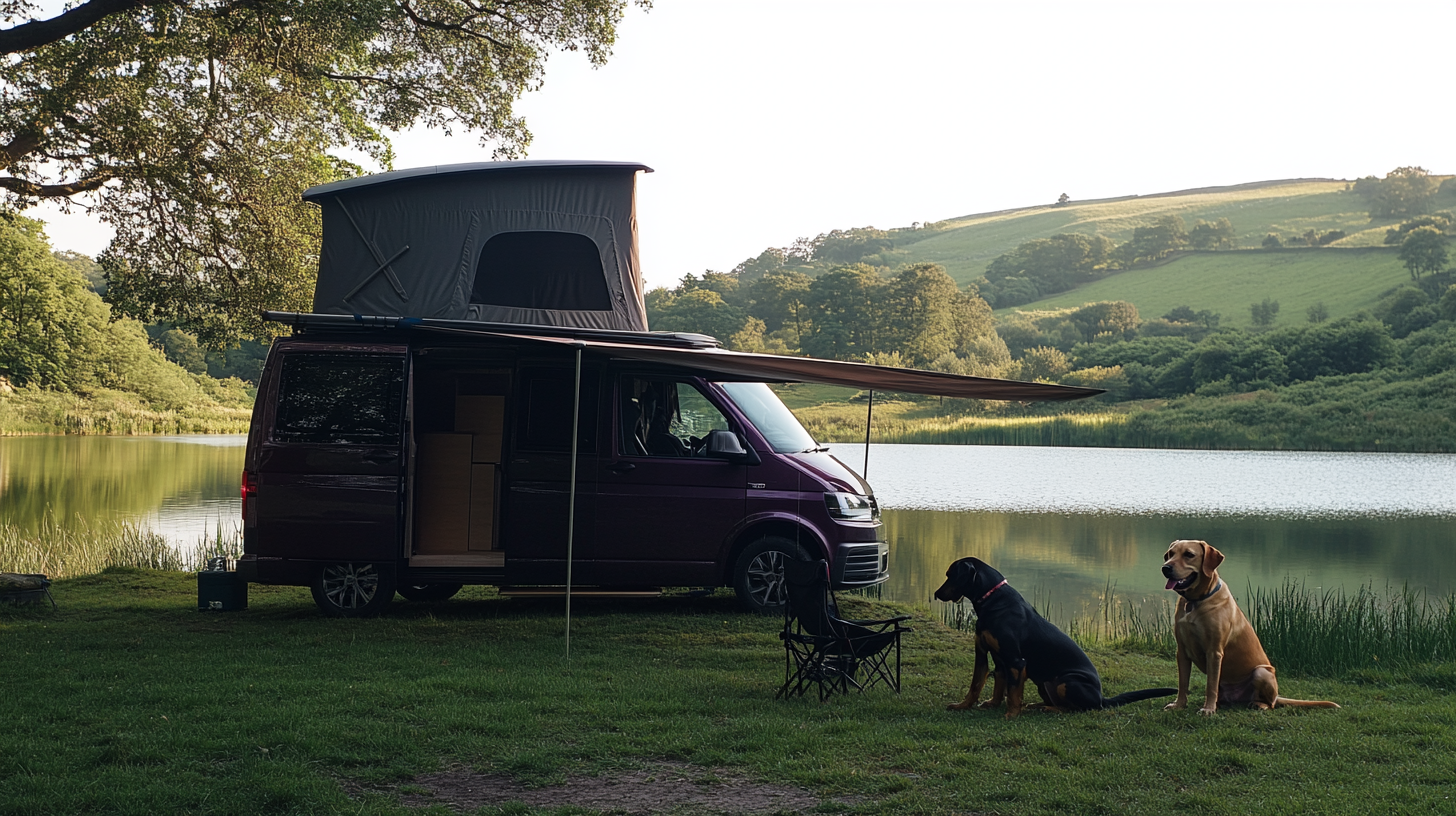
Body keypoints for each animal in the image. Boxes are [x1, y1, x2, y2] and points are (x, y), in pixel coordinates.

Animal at [937, 556, 1176, 716]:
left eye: (951, 575)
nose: (936, 594)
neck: (991, 601)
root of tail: (1102, 699)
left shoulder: (1016, 661)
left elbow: (1013, 693)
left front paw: (1011, 715)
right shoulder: (987, 656)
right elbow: (978, 686)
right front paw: (967, 706)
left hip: (1065, 682)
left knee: (1076, 709)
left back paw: (1044, 708)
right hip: (1045, 683)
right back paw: (1038, 705)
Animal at [1158, 542, 1339, 714]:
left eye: (1189, 554)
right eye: (1171, 554)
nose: (1165, 568)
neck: (1195, 601)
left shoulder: (1214, 652)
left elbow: (1210, 686)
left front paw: (1208, 709)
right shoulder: (1182, 651)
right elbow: (1183, 683)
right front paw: (1179, 705)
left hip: (1262, 672)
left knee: (1270, 704)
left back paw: (1258, 704)